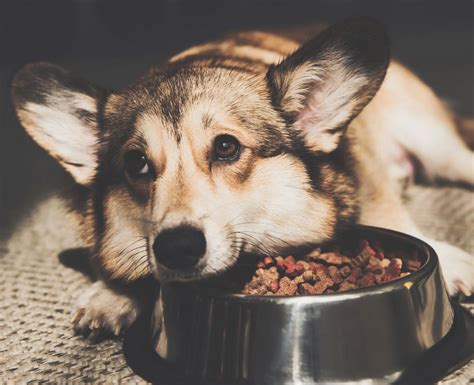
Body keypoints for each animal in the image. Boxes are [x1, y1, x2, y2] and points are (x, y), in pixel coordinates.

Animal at [11, 16, 474, 338]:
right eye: (137, 164)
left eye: (226, 147)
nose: (177, 249)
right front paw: (111, 295)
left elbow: (392, 216)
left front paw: (450, 262)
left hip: (438, 146)